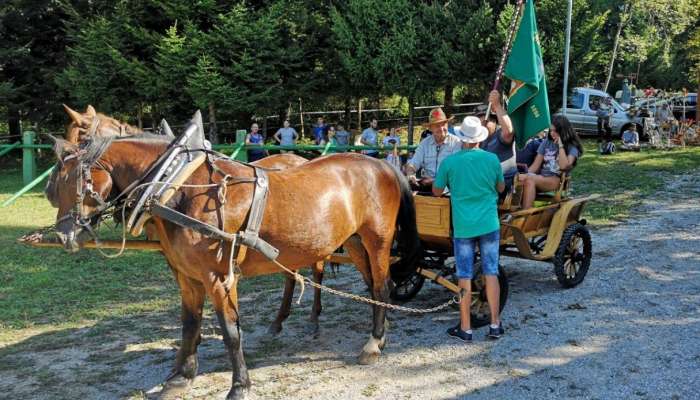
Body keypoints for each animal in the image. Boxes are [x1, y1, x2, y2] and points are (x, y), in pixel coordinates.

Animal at [50, 134, 422, 400]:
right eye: (55, 185)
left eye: (72, 180)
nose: (64, 235)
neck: (179, 187)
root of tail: (386, 166)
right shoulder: (187, 276)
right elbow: (189, 325)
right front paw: (181, 377)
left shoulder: (219, 277)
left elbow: (231, 332)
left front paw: (240, 385)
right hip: (355, 242)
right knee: (372, 285)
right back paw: (375, 333)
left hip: (377, 239)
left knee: (382, 285)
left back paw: (373, 343)